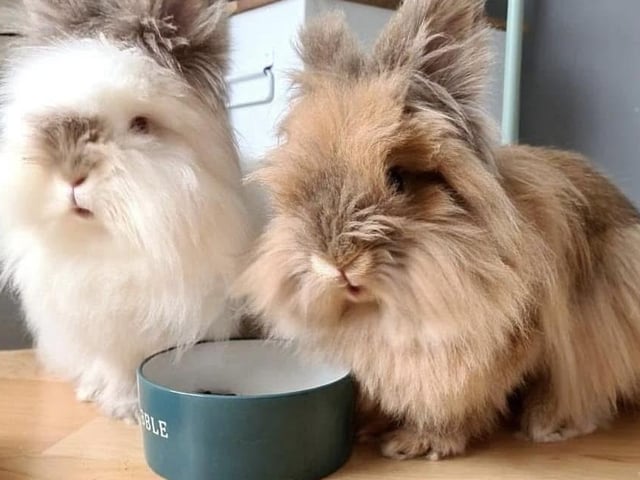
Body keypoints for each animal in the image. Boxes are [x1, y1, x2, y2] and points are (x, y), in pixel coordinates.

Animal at [0, 0, 255, 421]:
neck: (115, 241)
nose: (72, 174)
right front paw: (124, 407)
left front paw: (130, 410)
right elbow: (117, 367)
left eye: (140, 124)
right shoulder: (107, 333)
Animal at [236, 0, 640, 460]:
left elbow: (461, 403)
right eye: (299, 187)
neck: (390, 312)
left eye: (397, 178)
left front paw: (416, 443)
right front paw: (370, 427)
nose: (336, 264)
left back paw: (547, 423)